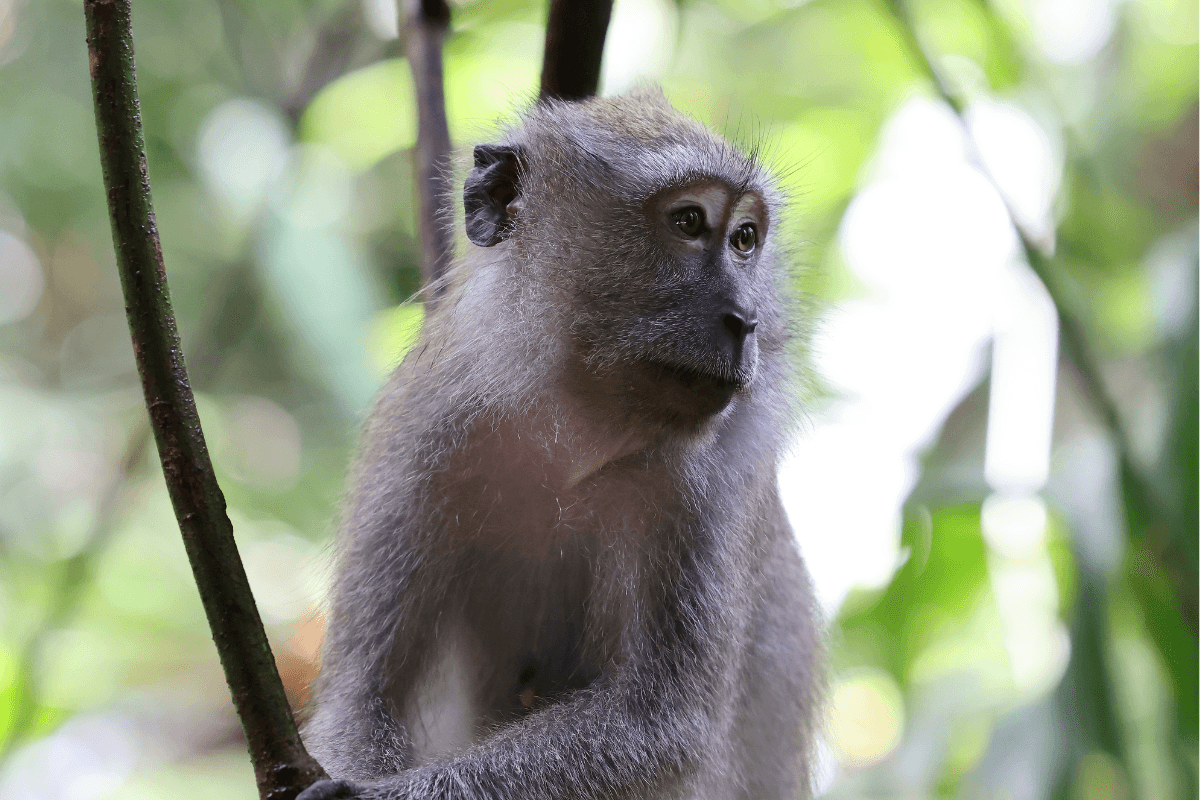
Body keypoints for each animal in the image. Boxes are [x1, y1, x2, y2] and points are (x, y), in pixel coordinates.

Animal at [298, 88, 822, 800]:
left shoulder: (706, 479)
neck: (574, 425)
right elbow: (361, 698)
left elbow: (657, 724)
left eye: (745, 239)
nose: (747, 320)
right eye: (689, 222)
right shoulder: (423, 429)